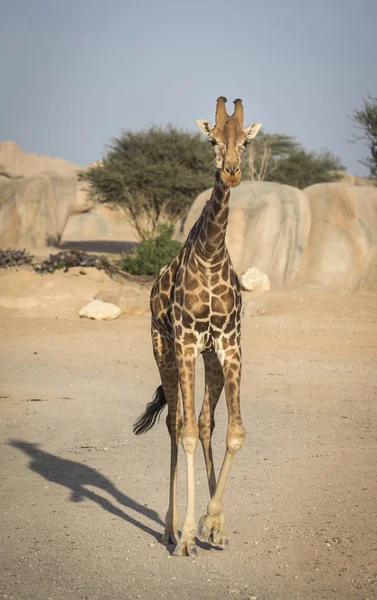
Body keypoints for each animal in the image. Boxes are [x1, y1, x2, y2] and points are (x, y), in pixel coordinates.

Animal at [134, 96, 260, 560]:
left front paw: (213, 521)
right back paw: (170, 530)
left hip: (210, 360)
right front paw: (188, 533)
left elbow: (234, 431)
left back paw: (211, 525)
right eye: (211, 139)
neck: (210, 253)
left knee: (206, 422)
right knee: (176, 423)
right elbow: (186, 432)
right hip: (164, 350)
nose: (232, 170)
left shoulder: (229, 344)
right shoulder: (187, 343)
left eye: (244, 140)